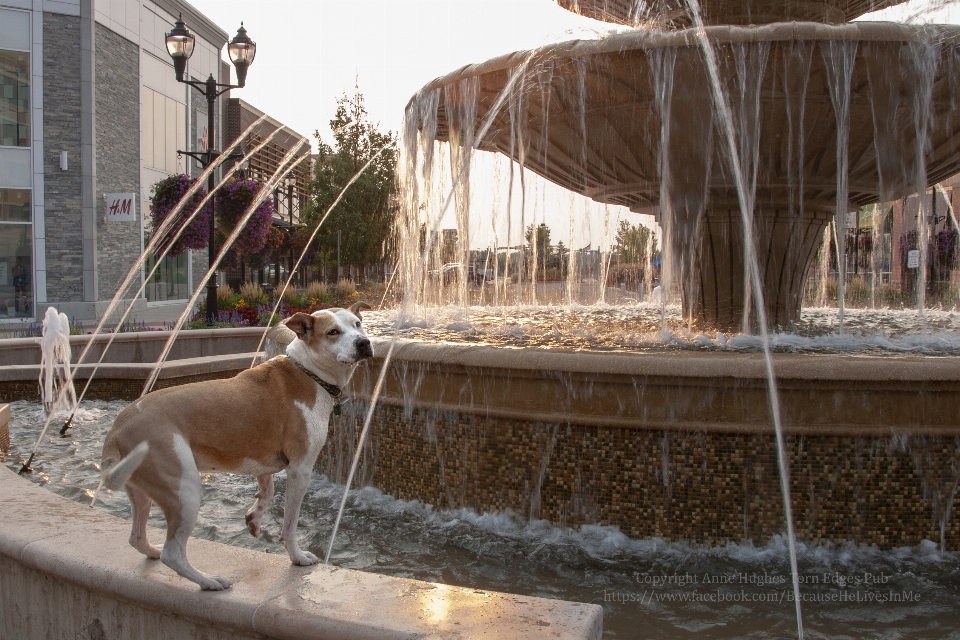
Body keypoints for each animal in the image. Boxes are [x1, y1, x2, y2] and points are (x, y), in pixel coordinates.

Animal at [98, 302, 376, 592]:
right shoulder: (300, 469)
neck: (308, 372)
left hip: (141, 488)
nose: (364, 343)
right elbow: (289, 524)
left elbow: (267, 490)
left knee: (137, 538)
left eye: (357, 324)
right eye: (333, 332)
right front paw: (297, 556)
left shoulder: (262, 461)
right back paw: (208, 581)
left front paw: (254, 518)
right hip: (184, 489)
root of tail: (118, 428)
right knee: (172, 553)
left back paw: (151, 551)